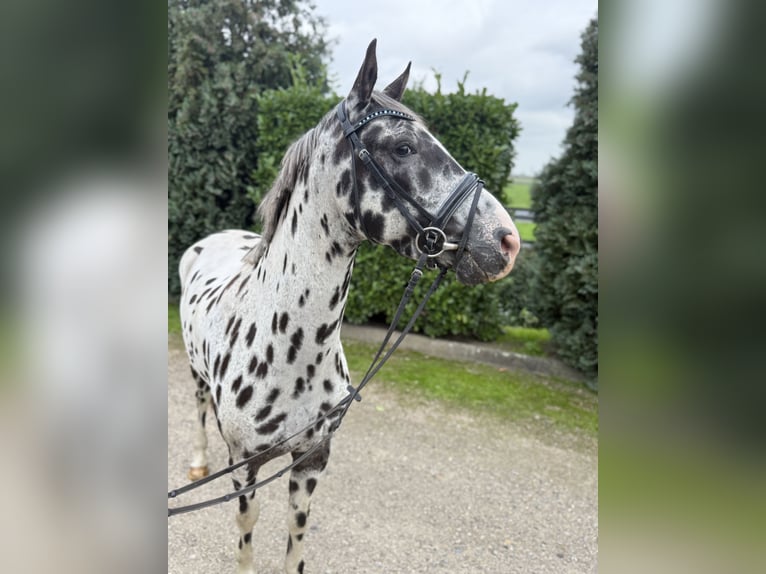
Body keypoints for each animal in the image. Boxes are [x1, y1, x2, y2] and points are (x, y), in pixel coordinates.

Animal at [177, 39, 521, 574]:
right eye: (403, 147)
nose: (506, 241)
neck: (287, 347)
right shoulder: (246, 471)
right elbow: (246, 537)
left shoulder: (311, 464)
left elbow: (295, 542)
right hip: (197, 379)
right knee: (196, 409)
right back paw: (197, 461)